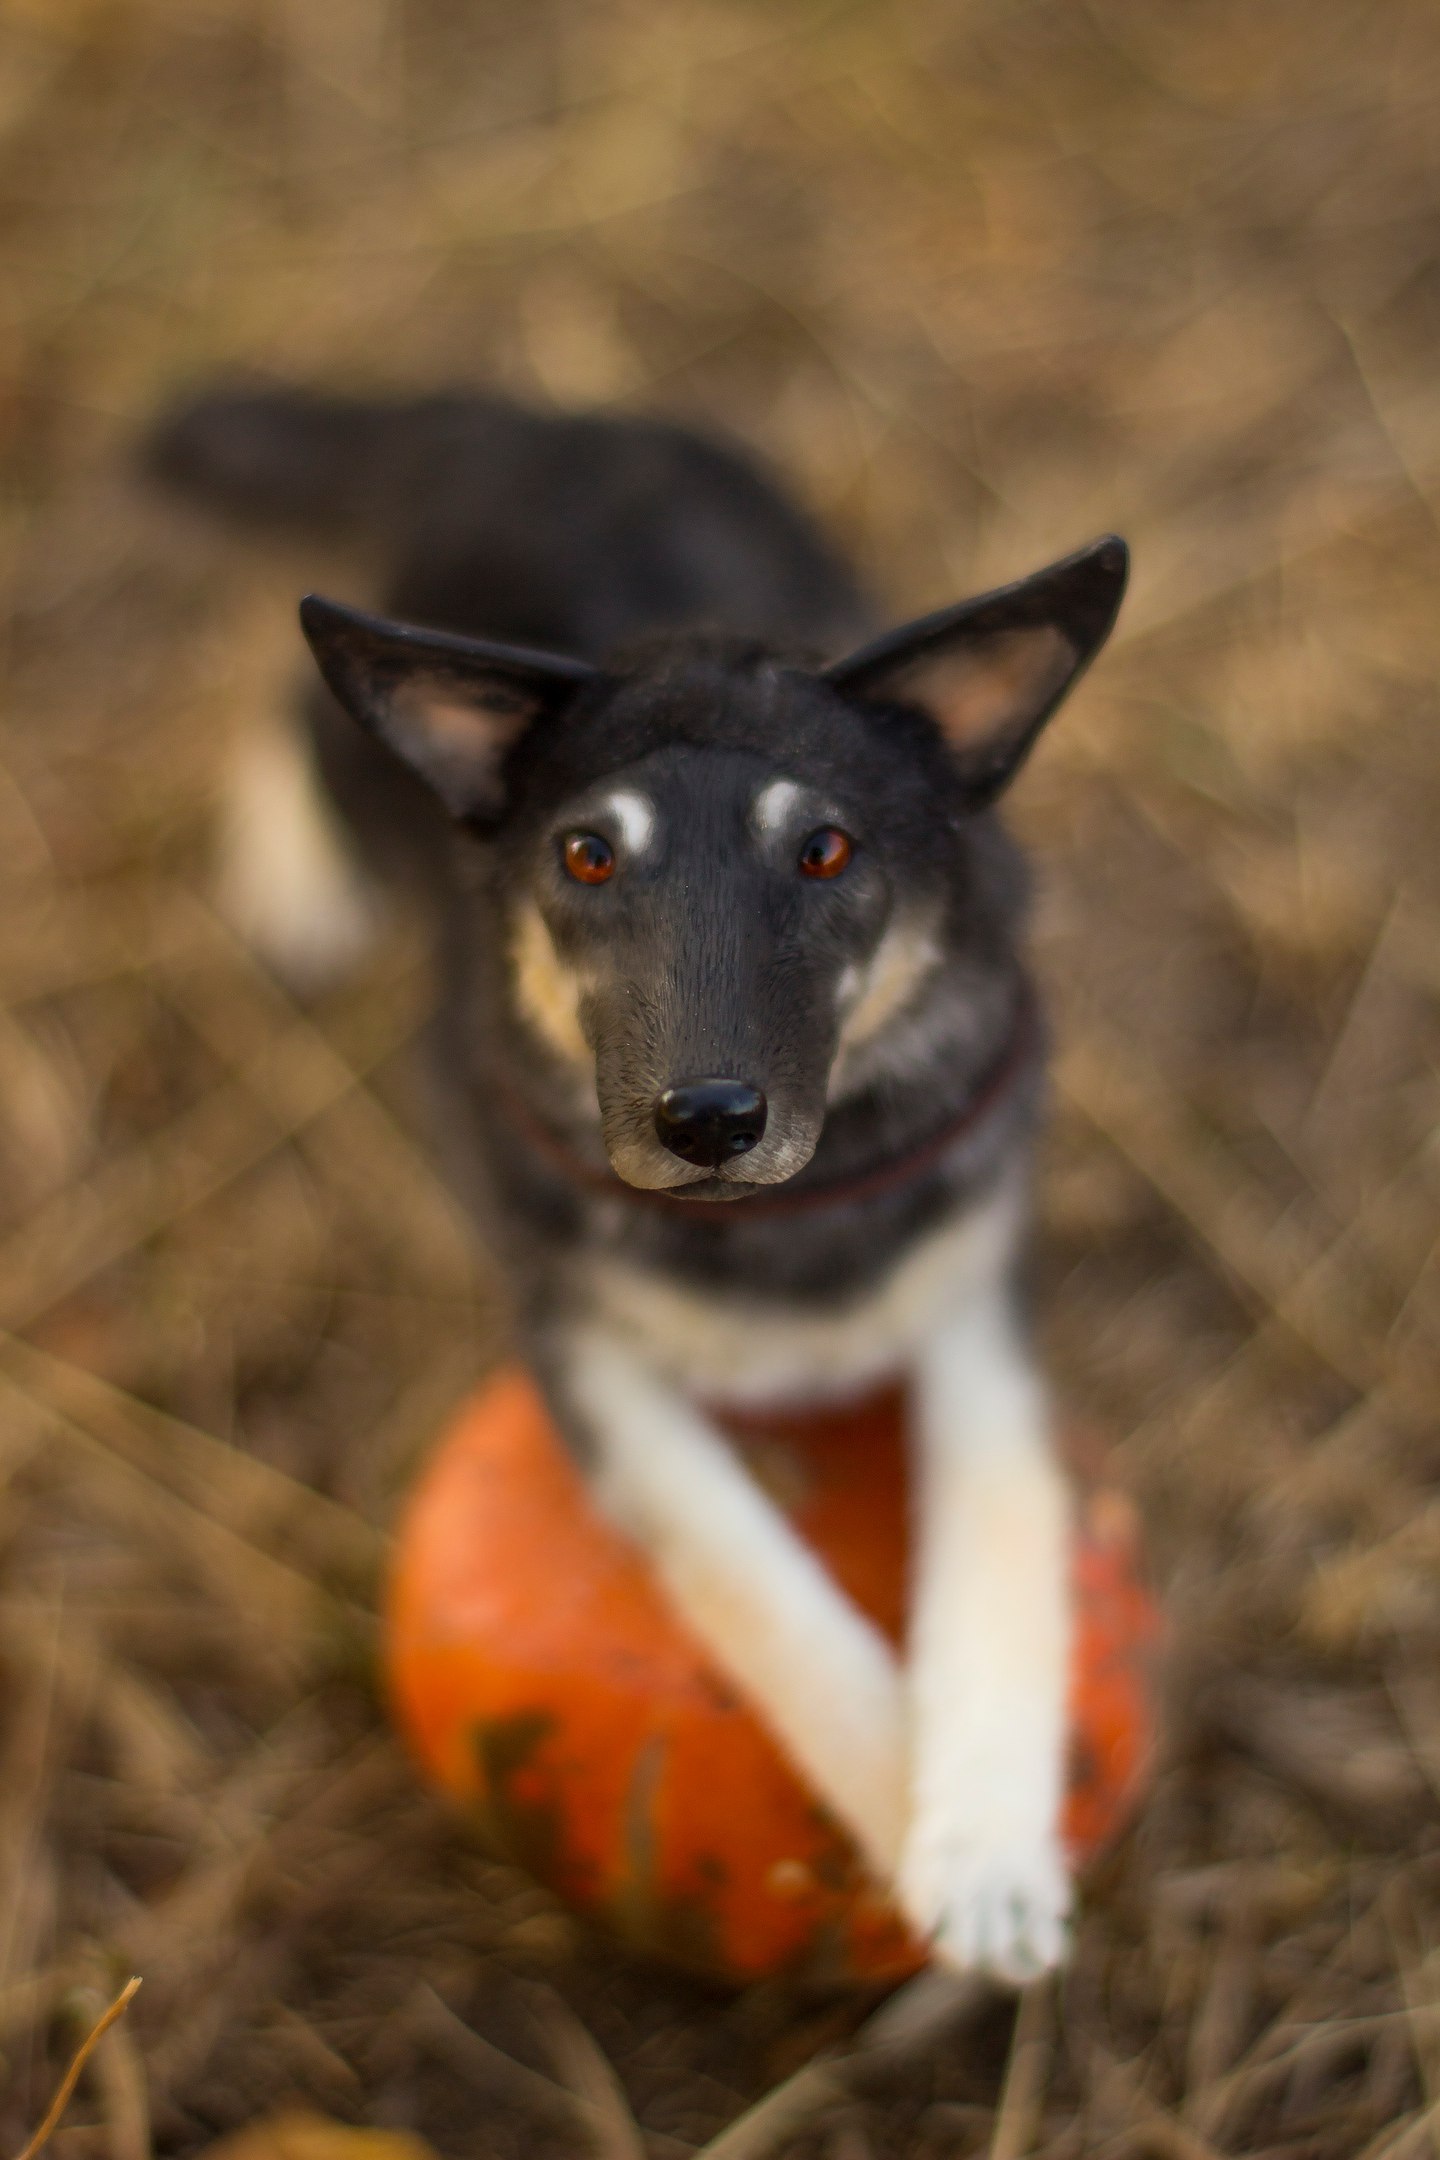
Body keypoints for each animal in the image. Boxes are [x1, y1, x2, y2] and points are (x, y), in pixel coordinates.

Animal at [152, 384, 1131, 1978]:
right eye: (588, 855)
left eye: (827, 848)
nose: (707, 1122)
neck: (780, 1219)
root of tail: (529, 422)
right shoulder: (588, 1361)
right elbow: (753, 1578)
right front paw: (889, 1798)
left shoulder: (977, 1307)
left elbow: (1002, 1550)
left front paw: (987, 1842)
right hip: (386, 755)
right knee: (296, 714)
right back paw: (295, 883)